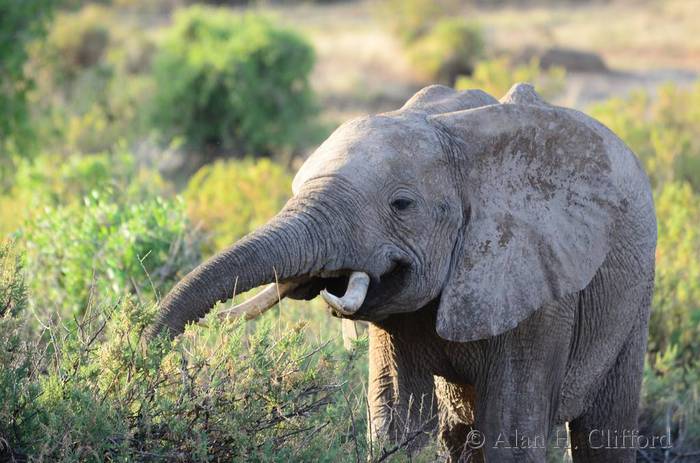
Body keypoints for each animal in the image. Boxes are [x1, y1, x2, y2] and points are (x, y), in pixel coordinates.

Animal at [149, 83, 657, 462]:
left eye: (402, 204)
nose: (149, 358)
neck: (461, 143)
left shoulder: (539, 289)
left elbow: (510, 434)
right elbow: (398, 420)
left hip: (636, 292)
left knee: (603, 430)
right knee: (459, 434)